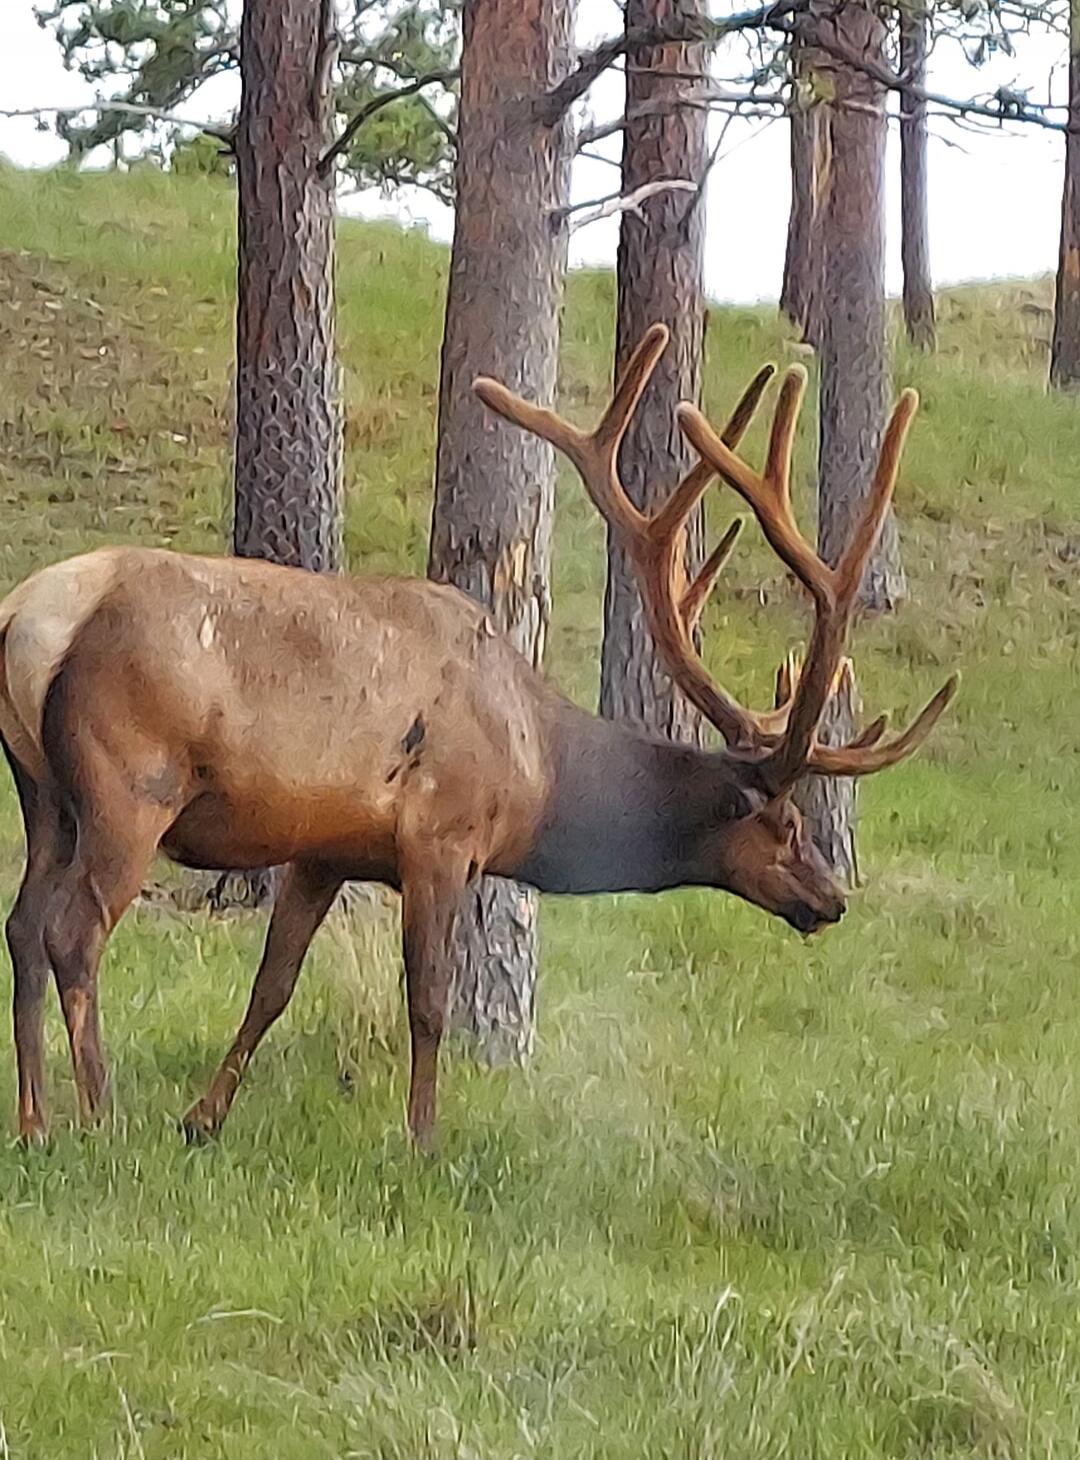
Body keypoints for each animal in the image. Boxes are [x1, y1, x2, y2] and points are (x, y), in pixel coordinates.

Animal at [0, 324, 956, 1151]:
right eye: (786, 824)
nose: (831, 899)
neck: (536, 764)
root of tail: (32, 615)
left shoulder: (324, 848)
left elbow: (272, 985)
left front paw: (204, 1118)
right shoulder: (442, 833)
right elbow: (427, 998)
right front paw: (423, 1139)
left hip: (43, 793)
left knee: (21, 924)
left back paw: (36, 1123)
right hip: (131, 782)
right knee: (73, 932)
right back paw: (99, 1116)